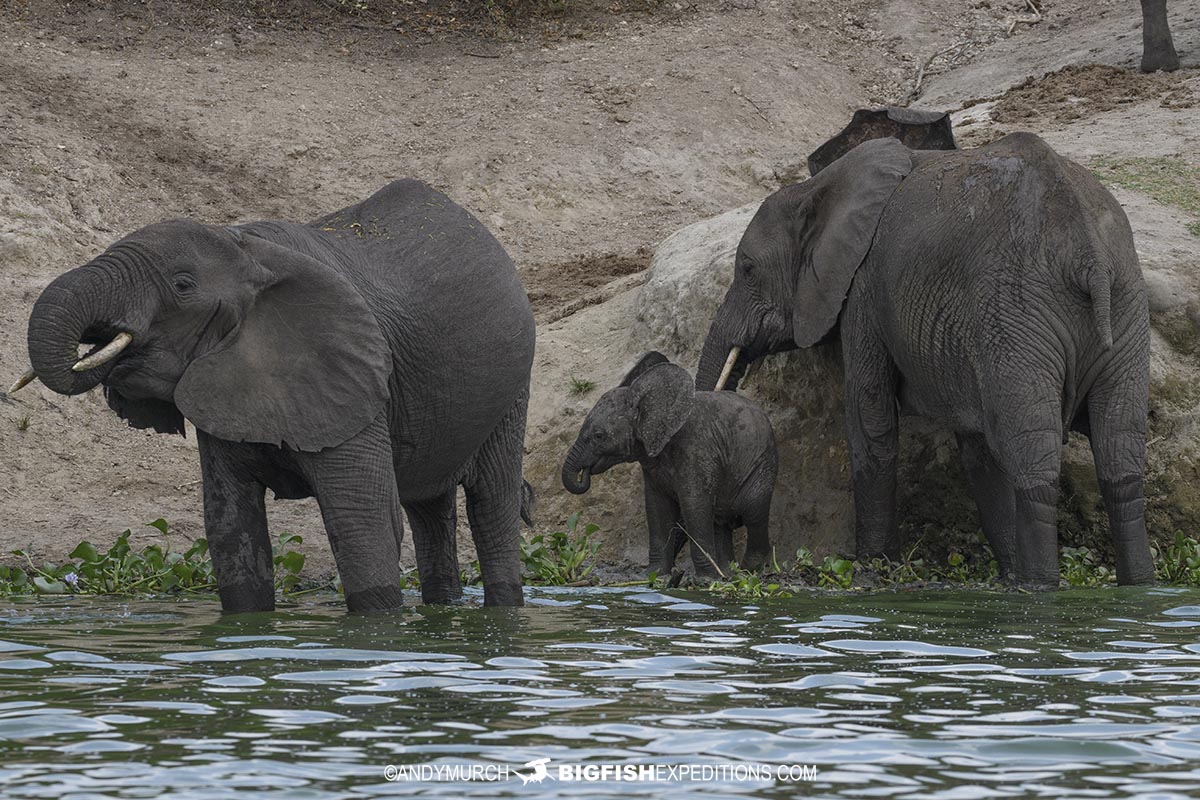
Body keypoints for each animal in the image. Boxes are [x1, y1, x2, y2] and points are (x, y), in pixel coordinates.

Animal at [12, 179, 535, 614]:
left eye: (182, 285)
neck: (246, 250)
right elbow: (230, 524)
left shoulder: (351, 381)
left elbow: (361, 520)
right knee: (429, 508)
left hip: (514, 388)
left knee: (491, 504)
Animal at [561, 352, 777, 578]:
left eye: (599, 435)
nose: (584, 474)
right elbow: (657, 509)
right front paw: (653, 574)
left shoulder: (696, 450)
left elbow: (694, 506)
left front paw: (704, 578)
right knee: (720, 521)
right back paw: (727, 573)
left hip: (763, 463)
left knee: (754, 512)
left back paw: (752, 570)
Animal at [700, 134, 1156, 592]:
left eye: (748, 270)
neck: (819, 185)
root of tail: (1087, 252)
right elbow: (977, 446)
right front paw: (1005, 571)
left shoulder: (865, 287)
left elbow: (871, 417)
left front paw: (874, 566)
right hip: (1123, 303)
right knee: (1120, 454)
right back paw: (1137, 585)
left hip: (1019, 307)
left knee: (1033, 452)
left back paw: (1038, 587)